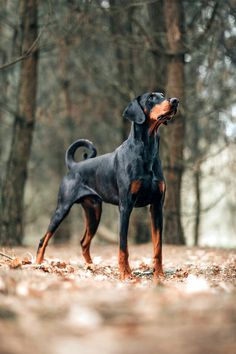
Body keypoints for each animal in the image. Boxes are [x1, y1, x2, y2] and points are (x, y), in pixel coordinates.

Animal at [35, 92, 179, 280]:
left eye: (163, 95)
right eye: (151, 98)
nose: (175, 101)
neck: (147, 150)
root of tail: (74, 166)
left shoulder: (156, 206)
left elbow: (158, 247)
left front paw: (159, 274)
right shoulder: (125, 206)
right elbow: (123, 246)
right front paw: (125, 274)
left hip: (94, 211)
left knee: (84, 242)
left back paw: (91, 267)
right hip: (63, 208)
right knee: (43, 239)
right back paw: (37, 265)